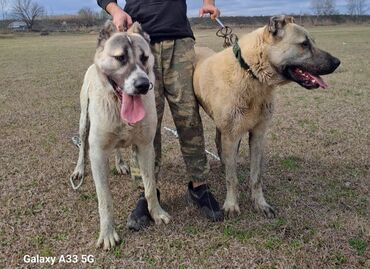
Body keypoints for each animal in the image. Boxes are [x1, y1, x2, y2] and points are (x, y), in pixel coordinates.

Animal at [70, 22, 170, 249]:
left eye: (145, 57)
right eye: (120, 58)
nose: (143, 85)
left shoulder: (145, 147)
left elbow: (150, 187)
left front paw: (156, 213)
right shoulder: (97, 154)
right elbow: (104, 199)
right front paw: (107, 233)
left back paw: (120, 163)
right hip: (84, 121)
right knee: (82, 146)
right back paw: (79, 169)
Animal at [194, 15, 342, 217]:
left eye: (312, 42)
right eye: (304, 44)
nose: (337, 62)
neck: (251, 73)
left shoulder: (257, 135)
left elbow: (256, 177)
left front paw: (260, 203)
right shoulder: (232, 136)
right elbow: (232, 179)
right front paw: (231, 205)